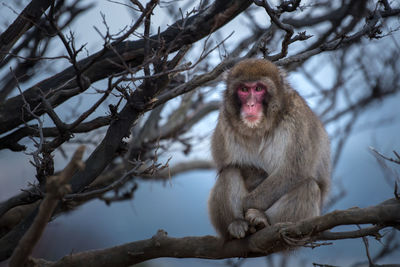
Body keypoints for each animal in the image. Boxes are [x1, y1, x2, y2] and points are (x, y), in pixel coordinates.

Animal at [208, 58, 330, 241]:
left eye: (258, 89)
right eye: (244, 89)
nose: (250, 104)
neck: (261, 127)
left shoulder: (297, 119)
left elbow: (293, 171)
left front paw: (248, 204)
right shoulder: (225, 120)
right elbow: (225, 164)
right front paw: (256, 176)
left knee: (308, 186)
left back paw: (262, 220)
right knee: (229, 171)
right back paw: (237, 225)